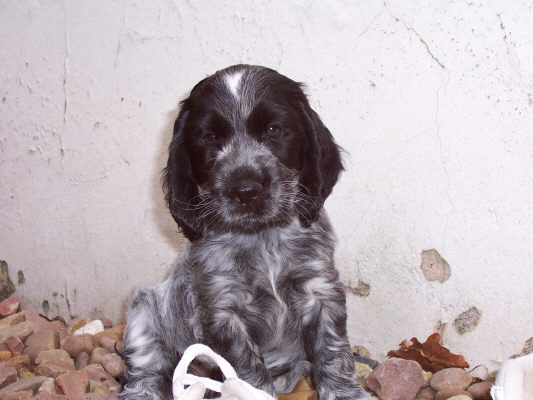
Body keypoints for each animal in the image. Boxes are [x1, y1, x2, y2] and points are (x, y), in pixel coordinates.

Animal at [120, 65, 368, 400]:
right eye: (209, 137)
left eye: (274, 130)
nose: (245, 190)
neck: (261, 237)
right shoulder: (224, 310)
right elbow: (247, 369)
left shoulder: (321, 290)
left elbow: (333, 352)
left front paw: (345, 393)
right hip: (143, 312)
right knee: (144, 369)